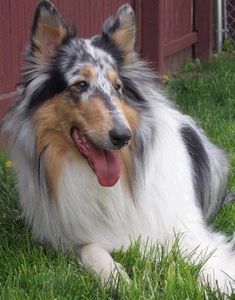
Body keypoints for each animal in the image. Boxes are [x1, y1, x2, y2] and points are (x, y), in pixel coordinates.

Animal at [1, 0, 235, 292]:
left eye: (118, 87)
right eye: (80, 84)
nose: (123, 136)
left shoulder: (192, 232)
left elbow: (211, 262)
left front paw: (218, 284)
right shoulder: (70, 238)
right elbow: (92, 249)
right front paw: (116, 277)